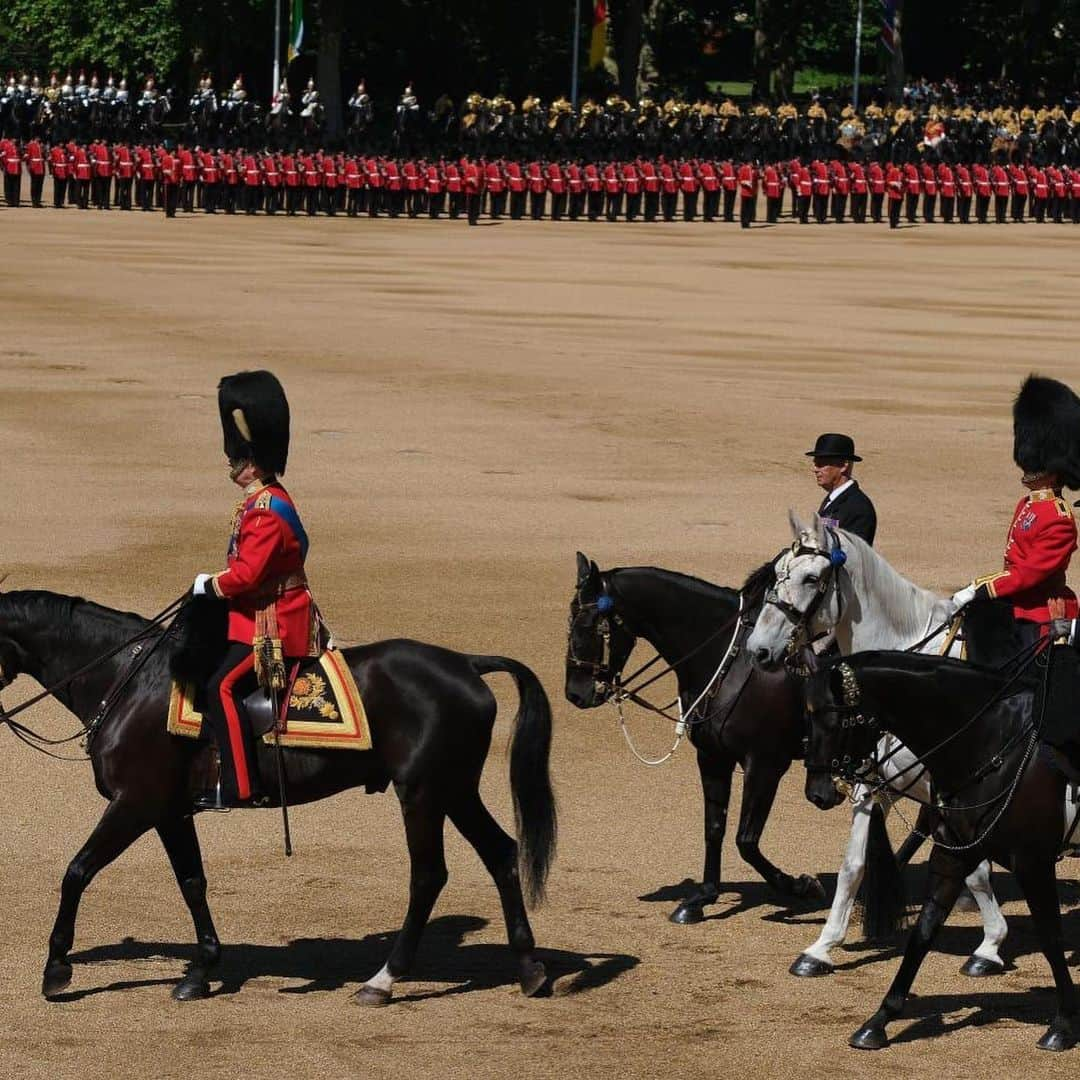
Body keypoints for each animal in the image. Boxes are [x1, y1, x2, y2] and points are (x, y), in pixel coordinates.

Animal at [0, 591, 557, 1002]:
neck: (127, 681)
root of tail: (466, 663)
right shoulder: (171, 812)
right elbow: (192, 883)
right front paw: (201, 970)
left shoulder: (135, 803)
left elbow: (77, 871)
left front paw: (56, 968)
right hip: (454, 789)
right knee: (501, 853)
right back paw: (529, 968)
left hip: (421, 792)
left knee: (428, 875)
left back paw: (382, 981)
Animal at [561, 561, 820, 924]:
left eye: (588, 625)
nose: (574, 693)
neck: (730, 661)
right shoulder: (713, 757)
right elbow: (714, 828)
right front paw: (703, 896)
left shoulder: (765, 764)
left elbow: (746, 839)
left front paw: (799, 885)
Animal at [747, 514, 1075, 980]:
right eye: (776, 573)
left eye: (812, 578)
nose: (759, 650)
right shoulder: (875, 786)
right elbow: (853, 865)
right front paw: (822, 947)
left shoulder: (954, 794)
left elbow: (976, 872)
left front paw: (990, 946)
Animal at [807, 652, 1075, 1049]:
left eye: (836, 720)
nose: (818, 792)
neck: (990, 741)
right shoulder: (953, 854)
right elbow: (923, 932)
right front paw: (879, 1020)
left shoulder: (1033, 862)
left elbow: (1051, 938)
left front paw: (1063, 1023)